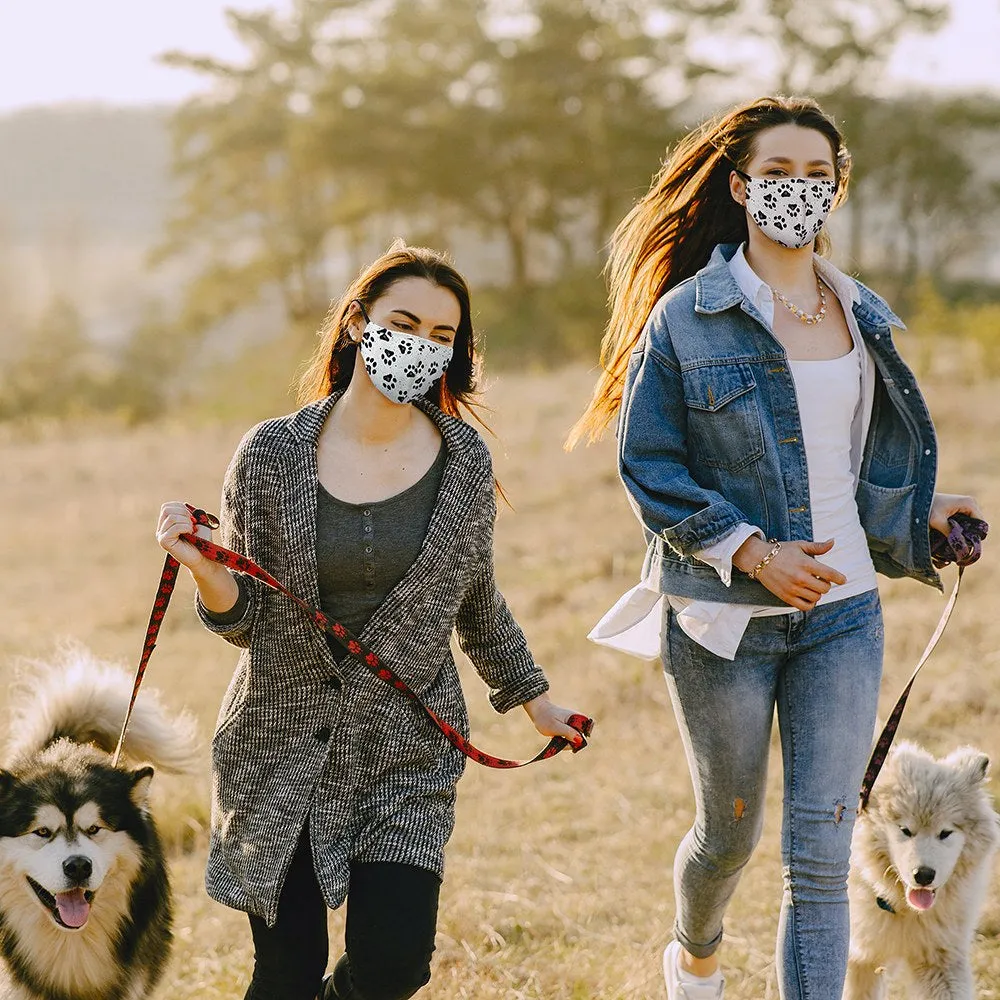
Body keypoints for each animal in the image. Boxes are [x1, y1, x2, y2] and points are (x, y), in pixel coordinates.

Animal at [844, 740, 1000, 996]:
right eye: (905, 830)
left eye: (945, 833)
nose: (924, 875)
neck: (903, 909)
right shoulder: (858, 959)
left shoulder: (940, 959)